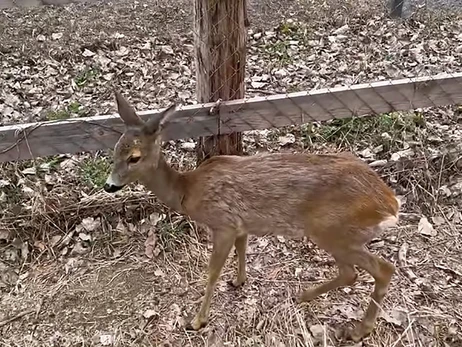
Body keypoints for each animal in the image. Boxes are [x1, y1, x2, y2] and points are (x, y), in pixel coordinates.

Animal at [104, 92, 400, 342]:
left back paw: (358, 330)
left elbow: (212, 272)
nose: (109, 185)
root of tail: (390, 204)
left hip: (334, 231)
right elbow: (242, 248)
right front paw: (239, 280)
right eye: (114, 150)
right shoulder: (240, 225)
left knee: (380, 269)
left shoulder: (222, 223)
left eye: (134, 157)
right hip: (336, 235)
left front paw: (197, 321)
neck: (189, 191)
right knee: (351, 273)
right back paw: (304, 296)